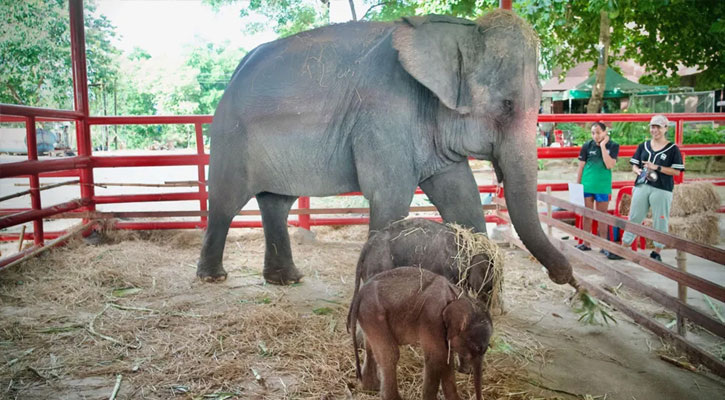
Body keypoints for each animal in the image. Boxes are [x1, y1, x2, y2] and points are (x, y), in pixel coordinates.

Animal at [197, 9, 572, 284]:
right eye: (507, 105)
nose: (565, 277)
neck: (459, 29)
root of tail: (236, 71)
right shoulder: (384, 116)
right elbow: (390, 197)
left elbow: (461, 195)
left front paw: (479, 294)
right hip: (231, 138)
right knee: (226, 203)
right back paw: (213, 277)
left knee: (276, 203)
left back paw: (287, 279)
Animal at [346, 266, 492, 400]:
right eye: (478, 348)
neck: (458, 296)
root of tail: (359, 294)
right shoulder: (432, 317)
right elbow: (437, 358)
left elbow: (447, 360)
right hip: (374, 313)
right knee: (390, 354)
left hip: (368, 315)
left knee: (370, 347)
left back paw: (371, 389)